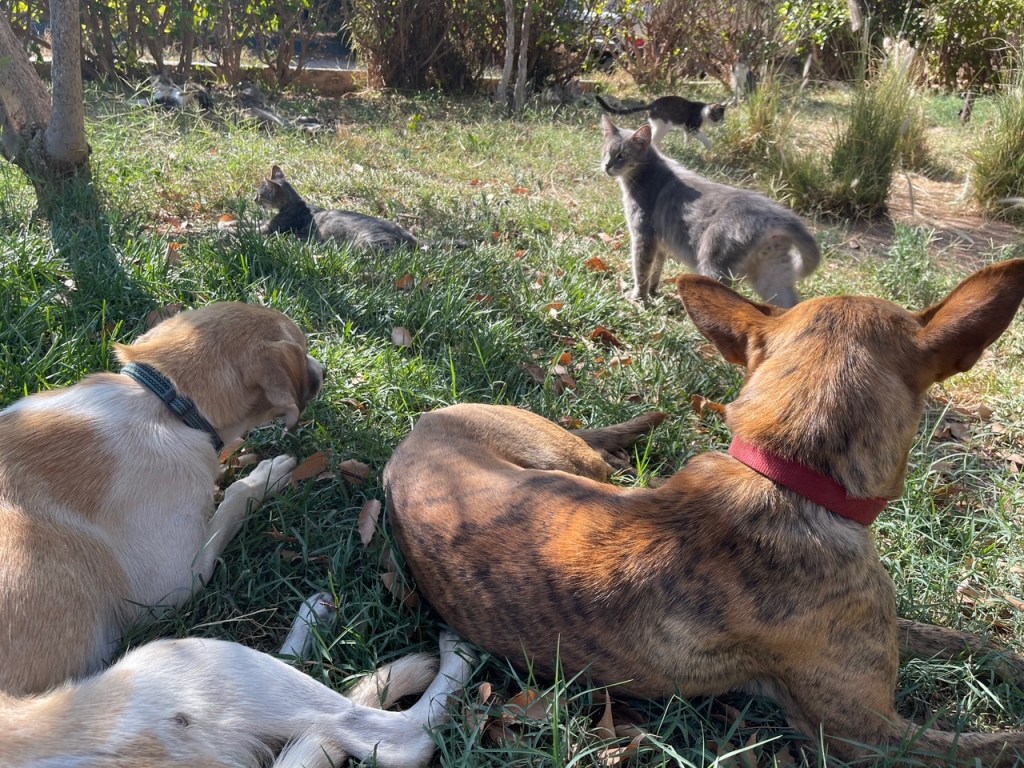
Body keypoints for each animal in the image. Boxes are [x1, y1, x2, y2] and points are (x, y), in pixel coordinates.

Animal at [0, 302, 325, 695]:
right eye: (304, 348)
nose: (325, 370)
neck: (167, 403)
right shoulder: (173, 586)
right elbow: (235, 497)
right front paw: (267, 475)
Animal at [253, 165, 417, 252]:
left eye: (259, 194)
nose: (254, 199)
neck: (295, 204)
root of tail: (406, 234)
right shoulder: (268, 223)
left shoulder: (272, 227)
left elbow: (253, 228)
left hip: (368, 243)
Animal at [384, 259, 1024, 764]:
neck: (785, 473)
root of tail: (424, 423)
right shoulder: (866, 732)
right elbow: (999, 746)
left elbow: (960, 640)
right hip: (567, 457)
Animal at [595, 94, 727, 150]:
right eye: (717, 118)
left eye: (722, 119)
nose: (721, 123)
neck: (703, 112)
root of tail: (653, 104)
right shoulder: (692, 127)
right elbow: (703, 137)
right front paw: (709, 146)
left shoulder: (686, 129)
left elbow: (687, 138)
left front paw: (686, 147)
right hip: (664, 126)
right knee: (653, 140)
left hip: (657, 125)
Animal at [601, 115, 820, 307]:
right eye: (606, 152)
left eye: (622, 155)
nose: (606, 166)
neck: (646, 172)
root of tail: (776, 214)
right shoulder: (660, 244)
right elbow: (656, 269)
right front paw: (653, 292)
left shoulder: (643, 237)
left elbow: (641, 270)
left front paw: (638, 297)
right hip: (772, 276)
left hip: (714, 263)